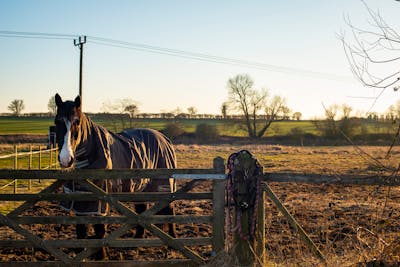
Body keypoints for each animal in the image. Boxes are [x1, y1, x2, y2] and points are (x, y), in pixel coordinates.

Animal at [53, 93, 177, 260]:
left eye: (77, 122)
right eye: (57, 121)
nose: (66, 159)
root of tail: (164, 138)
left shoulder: (101, 199)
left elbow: (100, 228)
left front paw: (101, 256)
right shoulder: (81, 200)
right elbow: (81, 228)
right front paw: (82, 254)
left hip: (164, 188)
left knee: (169, 211)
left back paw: (172, 242)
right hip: (140, 189)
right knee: (141, 210)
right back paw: (136, 243)